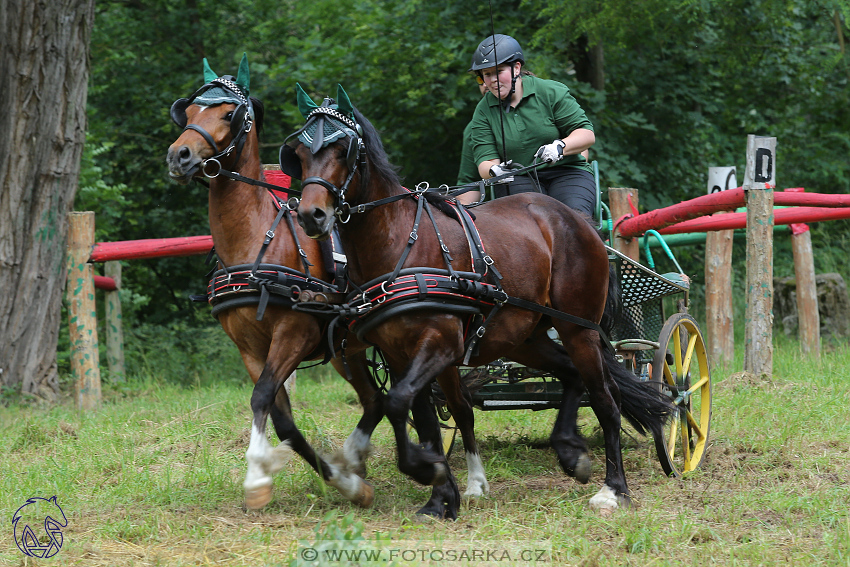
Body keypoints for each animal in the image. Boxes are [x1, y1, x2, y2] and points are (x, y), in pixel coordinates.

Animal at [165, 57, 384, 510]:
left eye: (228, 115)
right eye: (188, 111)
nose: (180, 154)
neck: (255, 240)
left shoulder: (295, 333)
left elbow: (263, 396)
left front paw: (256, 474)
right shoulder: (249, 348)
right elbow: (280, 415)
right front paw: (340, 481)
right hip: (346, 351)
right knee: (376, 400)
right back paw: (358, 466)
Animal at [288, 85, 672, 520]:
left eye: (343, 149)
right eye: (298, 153)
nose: (311, 215)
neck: (400, 242)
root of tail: (577, 222)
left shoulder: (441, 344)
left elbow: (399, 403)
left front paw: (425, 470)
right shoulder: (399, 354)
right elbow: (422, 418)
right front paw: (439, 496)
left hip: (578, 330)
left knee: (607, 400)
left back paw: (614, 489)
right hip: (526, 338)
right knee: (572, 376)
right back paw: (570, 451)